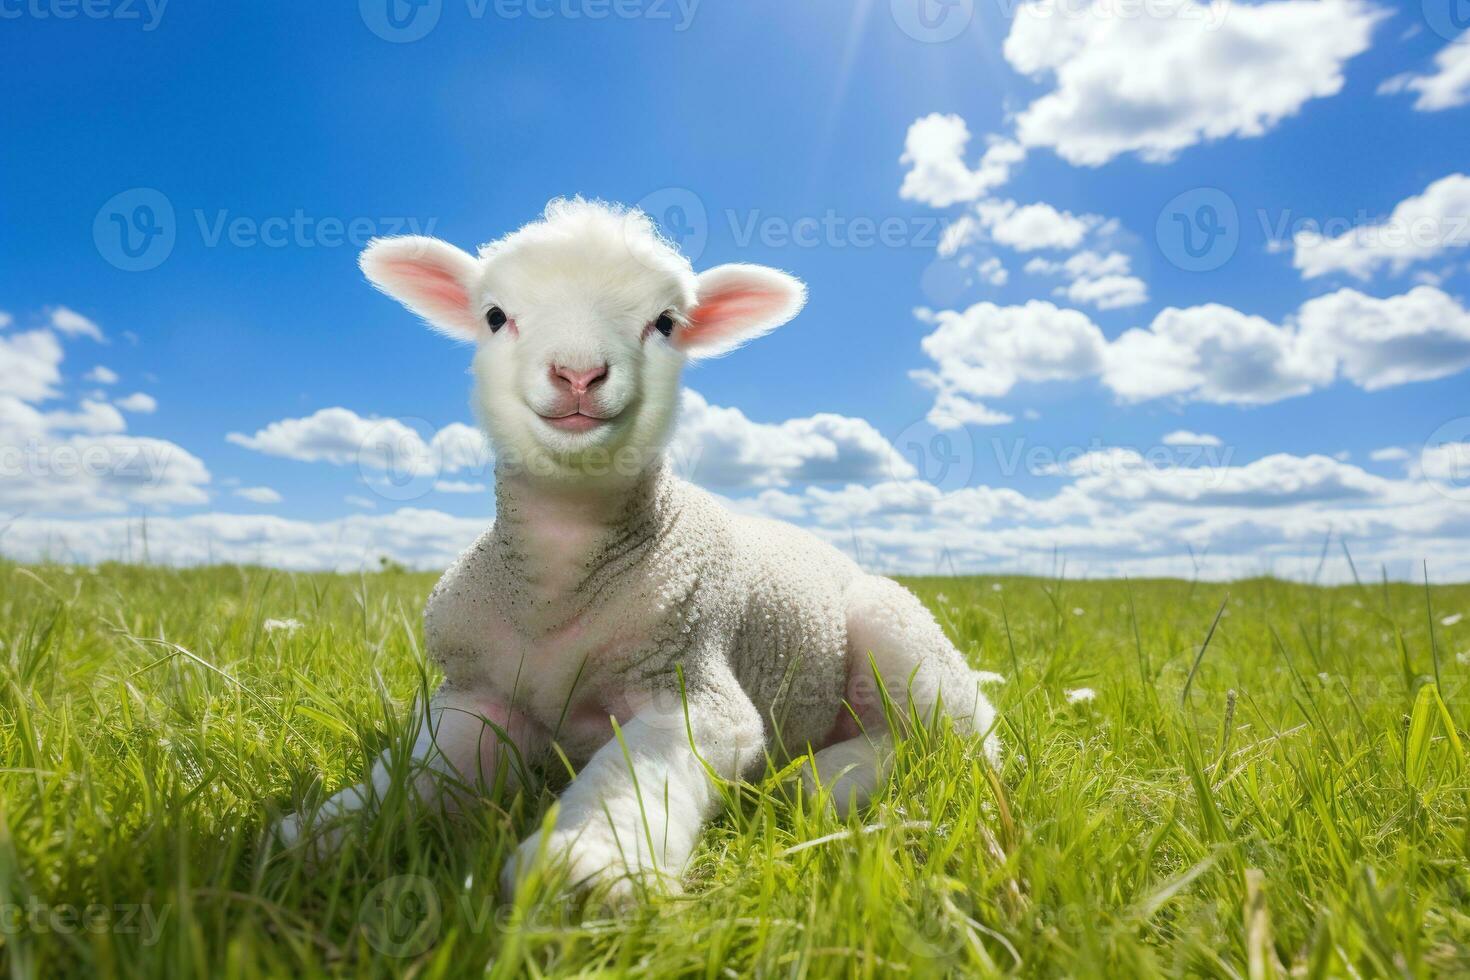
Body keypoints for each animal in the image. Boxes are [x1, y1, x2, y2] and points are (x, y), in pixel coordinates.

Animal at [276, 196, 999, 905]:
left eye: (666, 322)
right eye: (495, 316)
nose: (578, 373)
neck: (558, 582)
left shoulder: (692, 682)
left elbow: (637, 776)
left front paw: (586, 866)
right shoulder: (473, 694)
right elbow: (415, 772)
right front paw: (323, 835)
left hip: (900, 633)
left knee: (957, 746)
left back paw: (827, 780)